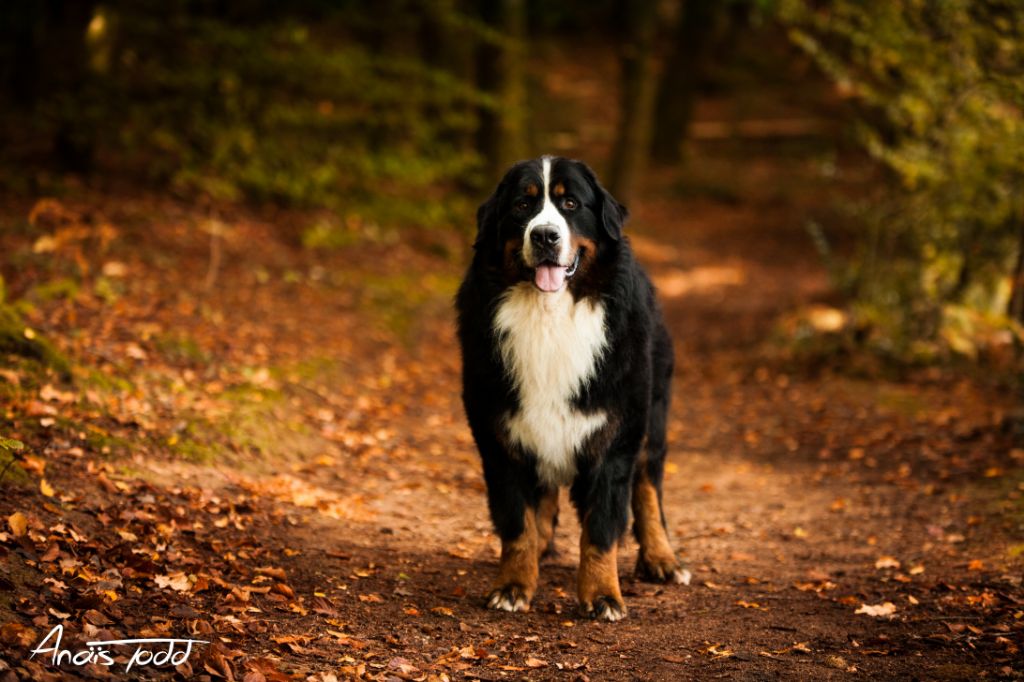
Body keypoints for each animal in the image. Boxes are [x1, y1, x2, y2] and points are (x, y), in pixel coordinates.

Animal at [458, 155, 684, 622]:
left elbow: (601, 528)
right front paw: (513, 586)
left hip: (652, 418)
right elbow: (518, 522)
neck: (550, 313)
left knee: (647, 485)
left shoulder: (613, 433)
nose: (545, 235)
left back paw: (661, 558)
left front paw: (602, 595)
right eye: (522, 205)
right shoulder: (500, 435)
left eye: (570, 203)